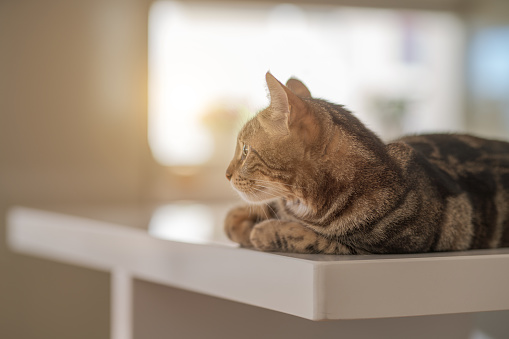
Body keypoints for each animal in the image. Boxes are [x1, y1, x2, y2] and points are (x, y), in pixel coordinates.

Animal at [222, 72, 508, 255]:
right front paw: (240, 220)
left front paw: (262, 232)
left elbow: (312, 238)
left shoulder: (381, 247)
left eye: (245, 150)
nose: (226, 174)